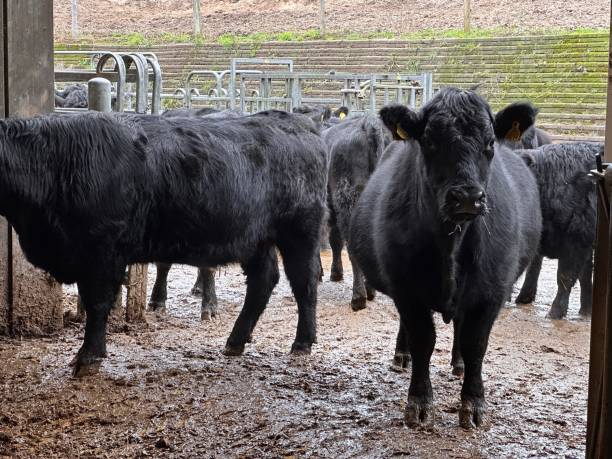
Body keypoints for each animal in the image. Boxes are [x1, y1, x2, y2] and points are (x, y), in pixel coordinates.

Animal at [0, 110, 328, 378]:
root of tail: (297, 122)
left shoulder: (103, 252)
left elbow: (96, 303)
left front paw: (88, 357)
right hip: (255, 239)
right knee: (263, 281)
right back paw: (235, 341)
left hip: (299, 232)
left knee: (304, 282)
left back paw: (302, 342)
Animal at [350, 88, 540, 430]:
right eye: (429, 141)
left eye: (490, 143)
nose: (466, 197)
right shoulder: (407, 289)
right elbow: (423, 339)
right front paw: (419, 402)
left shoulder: (491, 291)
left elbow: (477, 344)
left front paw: (473, 403)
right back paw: (402, 355)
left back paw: (459, 363)